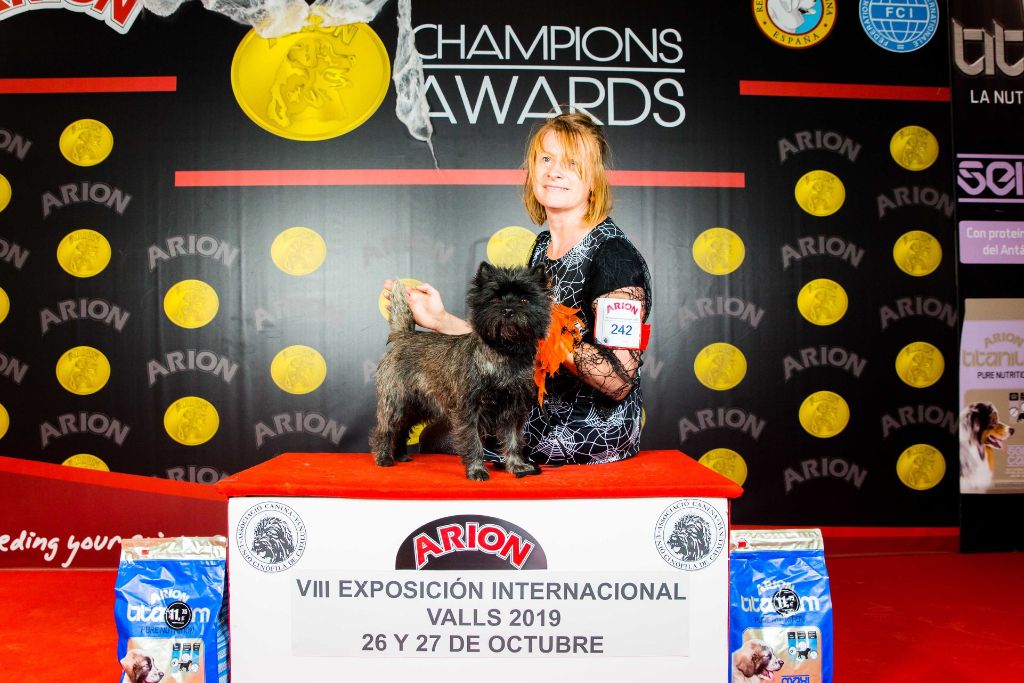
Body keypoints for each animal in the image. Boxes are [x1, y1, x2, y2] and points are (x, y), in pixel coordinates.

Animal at [371, 262, 552, 480]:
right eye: (494, 299)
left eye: (525, 300)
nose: (508, 310)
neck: (504, 354)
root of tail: (403, 335)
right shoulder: (469, 410)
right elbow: (473, 442)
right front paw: (477, 470)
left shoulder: (514, 410)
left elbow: (514, 439)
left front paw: (516, 465)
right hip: (395, 401)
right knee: (386, 427)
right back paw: (384, 457)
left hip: (417, 405)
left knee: (402, 426)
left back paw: (400, 455)